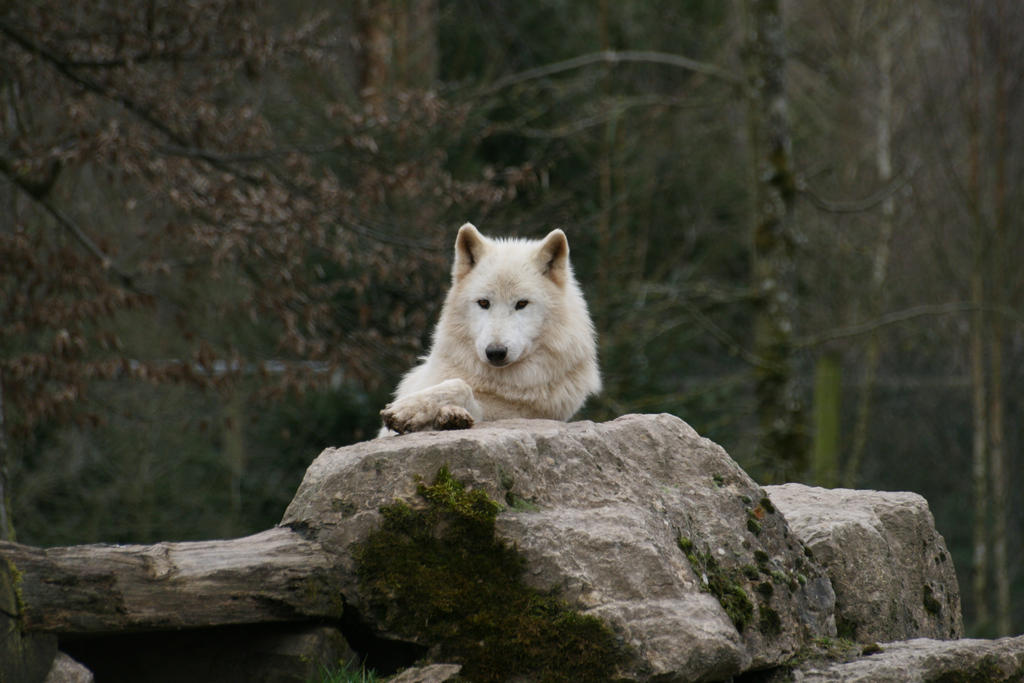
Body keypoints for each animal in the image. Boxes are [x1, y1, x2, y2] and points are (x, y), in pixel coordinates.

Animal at [378, 224, 598, 438]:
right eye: (484, 302)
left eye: (522, 304)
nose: (496, 352)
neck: (492, 381)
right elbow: (457, 385)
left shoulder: (520, 414)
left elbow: (461, 387)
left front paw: (411, 411)